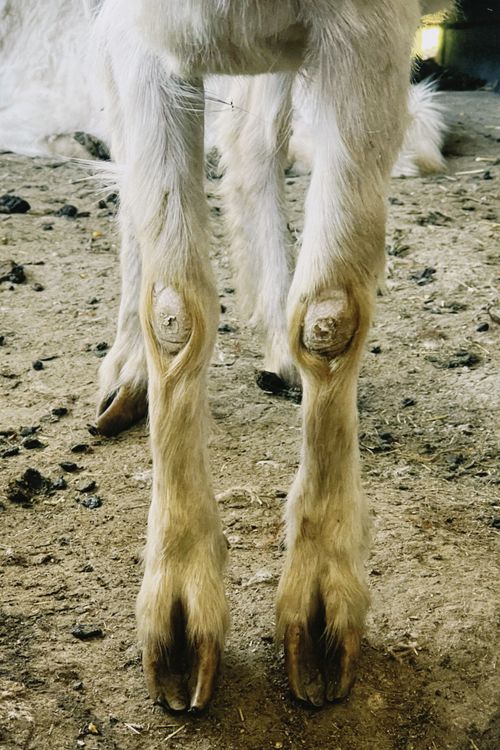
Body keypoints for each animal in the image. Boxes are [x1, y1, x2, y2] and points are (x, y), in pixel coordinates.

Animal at [86, 0, 451, 712]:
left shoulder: (371, 33)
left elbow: (330, 313)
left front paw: (320, 608)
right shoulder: (139, 31)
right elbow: (173, 309)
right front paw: (177, 611)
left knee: (255, 137)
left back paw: (277, 352)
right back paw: (128, 375)